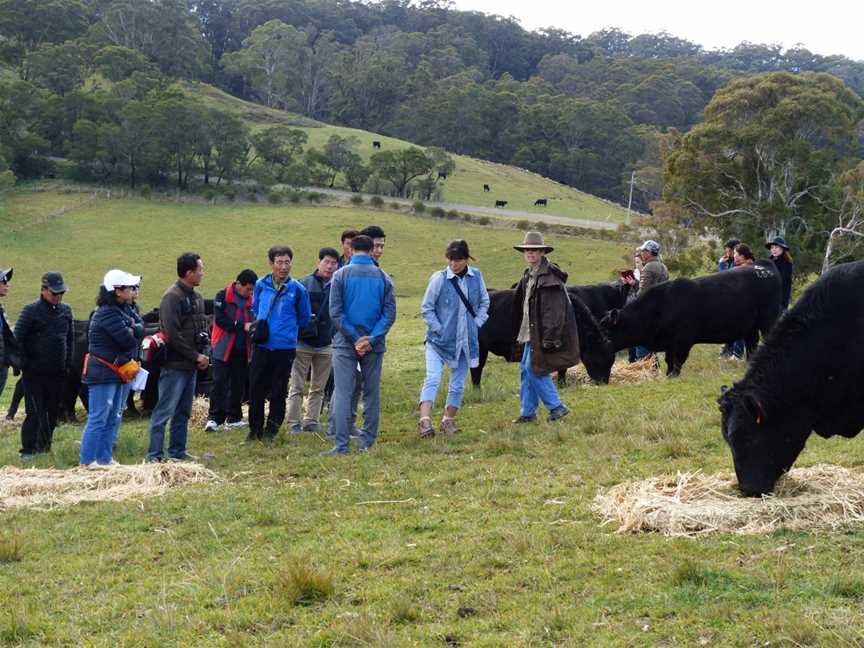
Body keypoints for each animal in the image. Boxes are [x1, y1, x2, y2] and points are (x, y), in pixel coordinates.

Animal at [600, 260, 784, 378]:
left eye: (606, 331)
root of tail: (763, 265)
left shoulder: (683, 340)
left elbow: (678, 360)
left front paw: (673, 375)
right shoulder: (670, 343)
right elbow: (669, 360)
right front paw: (668, 375)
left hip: (769, 321)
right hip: (750, 327)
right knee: (752, 345)